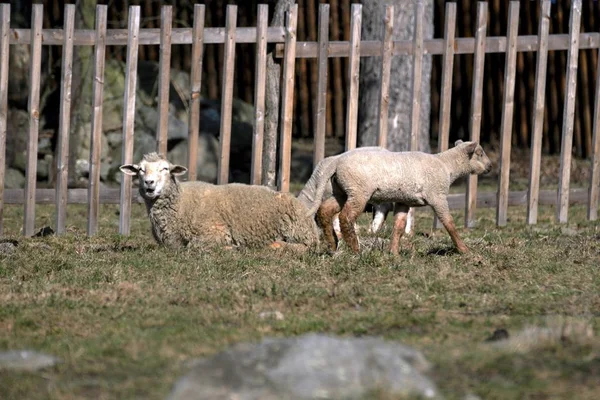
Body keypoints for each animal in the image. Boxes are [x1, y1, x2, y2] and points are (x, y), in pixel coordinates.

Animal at [119, 152, 322, 252]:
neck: (181, 203)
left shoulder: (216, 231)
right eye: (140, 170)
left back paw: (275, 246)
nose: (149, 183)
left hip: (298, 232)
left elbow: (193, 245)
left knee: (305, 247)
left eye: (165, 169)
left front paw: (231, 247)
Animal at [308, 141, 494, 253]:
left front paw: (394, 253)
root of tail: (337, 161)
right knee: (346, 217)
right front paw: (464, 250)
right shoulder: (437, 196)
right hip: (359, 190)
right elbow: (449, 223)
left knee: (324, 211)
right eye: (479, 153)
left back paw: (332, 244)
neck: (447, 166)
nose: (491, 167)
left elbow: (399, 226)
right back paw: (355, 250)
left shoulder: (403, 200)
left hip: (342, 191)